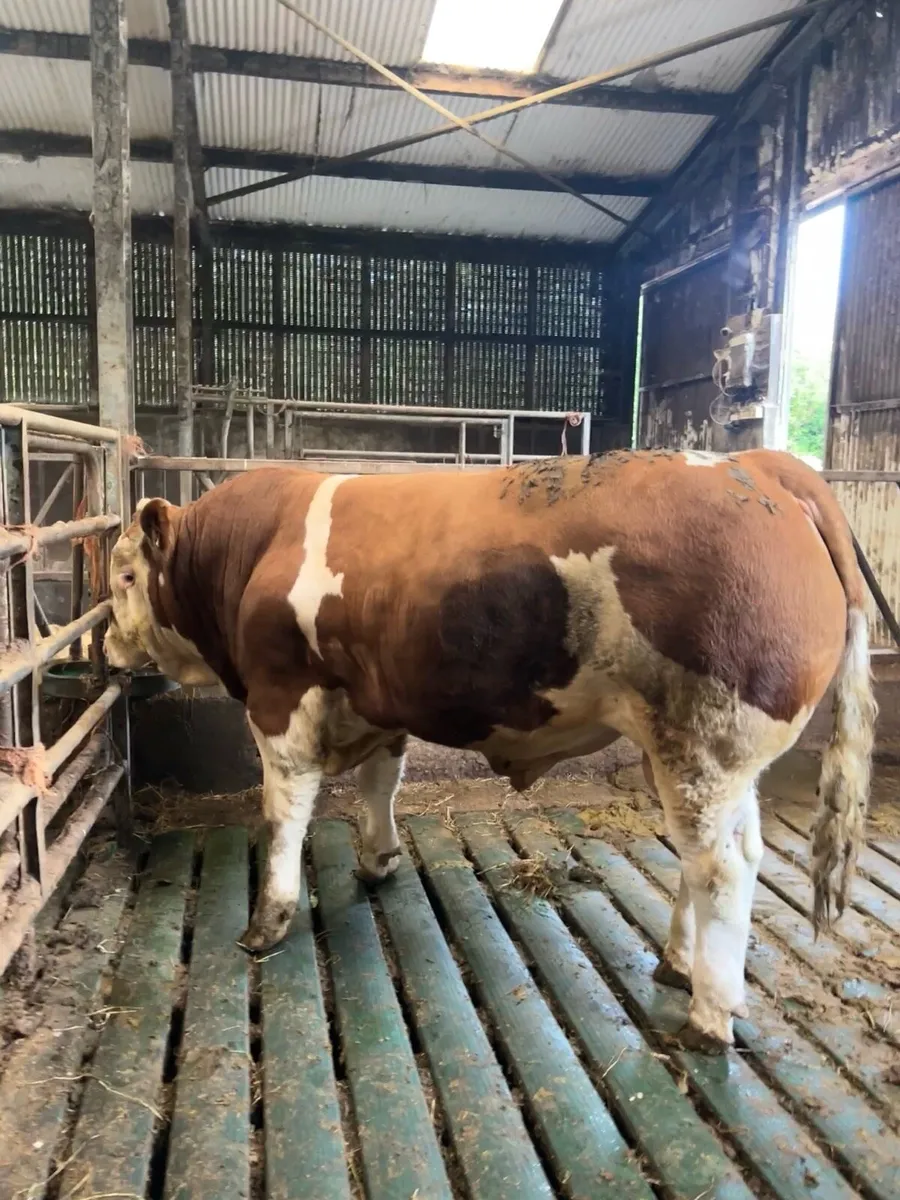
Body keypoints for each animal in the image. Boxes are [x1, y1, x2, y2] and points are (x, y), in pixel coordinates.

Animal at [104, 448, 875, 1053]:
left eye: (124, 577)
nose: (104, 645)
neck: (257, 546)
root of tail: (757, 464)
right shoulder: (380, 697)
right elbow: (381, 782)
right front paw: (378, 861)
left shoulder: (278, 697)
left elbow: (283, 812)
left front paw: (267, 920)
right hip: (709, 759)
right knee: (713, 853)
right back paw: (676, 965)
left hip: (703, 744)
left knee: (721, 866)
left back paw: (708, 1017)